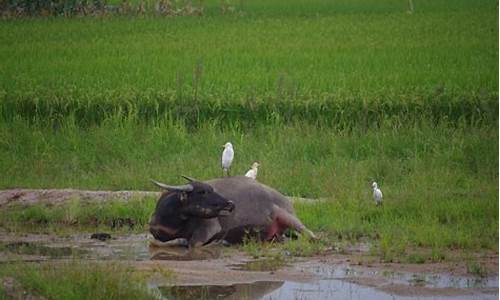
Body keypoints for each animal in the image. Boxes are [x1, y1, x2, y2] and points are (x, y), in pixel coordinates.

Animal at [146, 175, 316, 247]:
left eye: (211, 189)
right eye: (202, 192)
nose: (230, 203)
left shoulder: (209, 228)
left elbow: (194, 244)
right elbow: (155, 243)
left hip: (288, 216)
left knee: (309, 234)